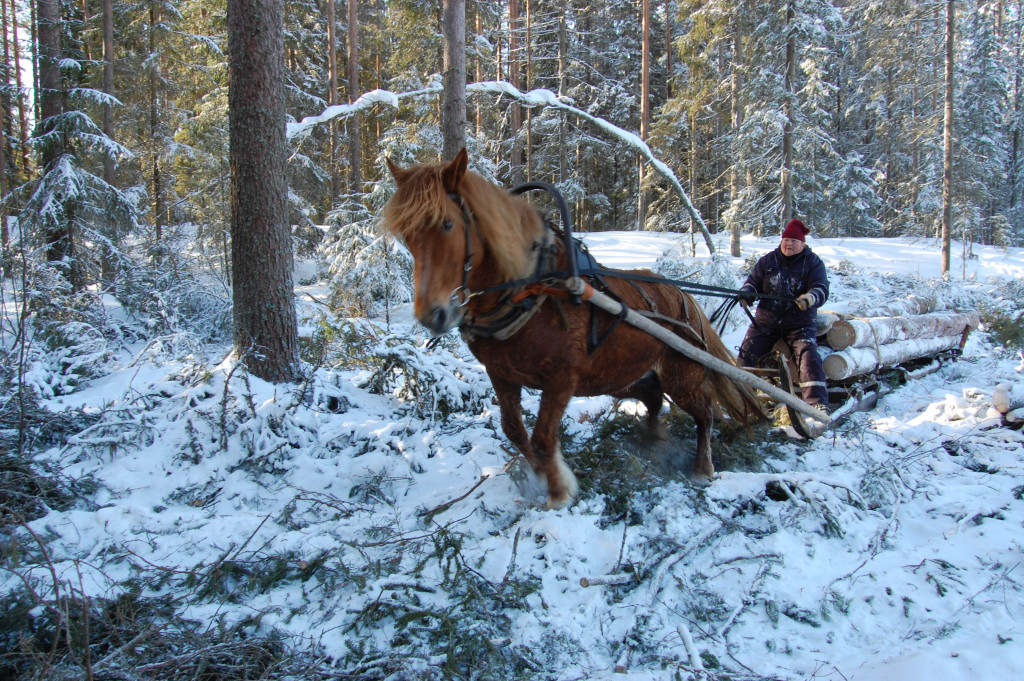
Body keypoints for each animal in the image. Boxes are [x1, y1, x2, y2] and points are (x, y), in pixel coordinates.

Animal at [380, 150, 765, 509]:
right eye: (406, 235)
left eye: (447, 224)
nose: (432, 315)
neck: (531, 291)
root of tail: (684, 297)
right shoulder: (500, 373)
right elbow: (514, 430)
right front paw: (541, 473)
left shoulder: (562, 379)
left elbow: (542, 438)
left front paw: (558, 491)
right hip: (627, 376)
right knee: (654, 400)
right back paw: (652, 440)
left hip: (681, 376)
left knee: (704, 412)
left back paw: (703, 467)